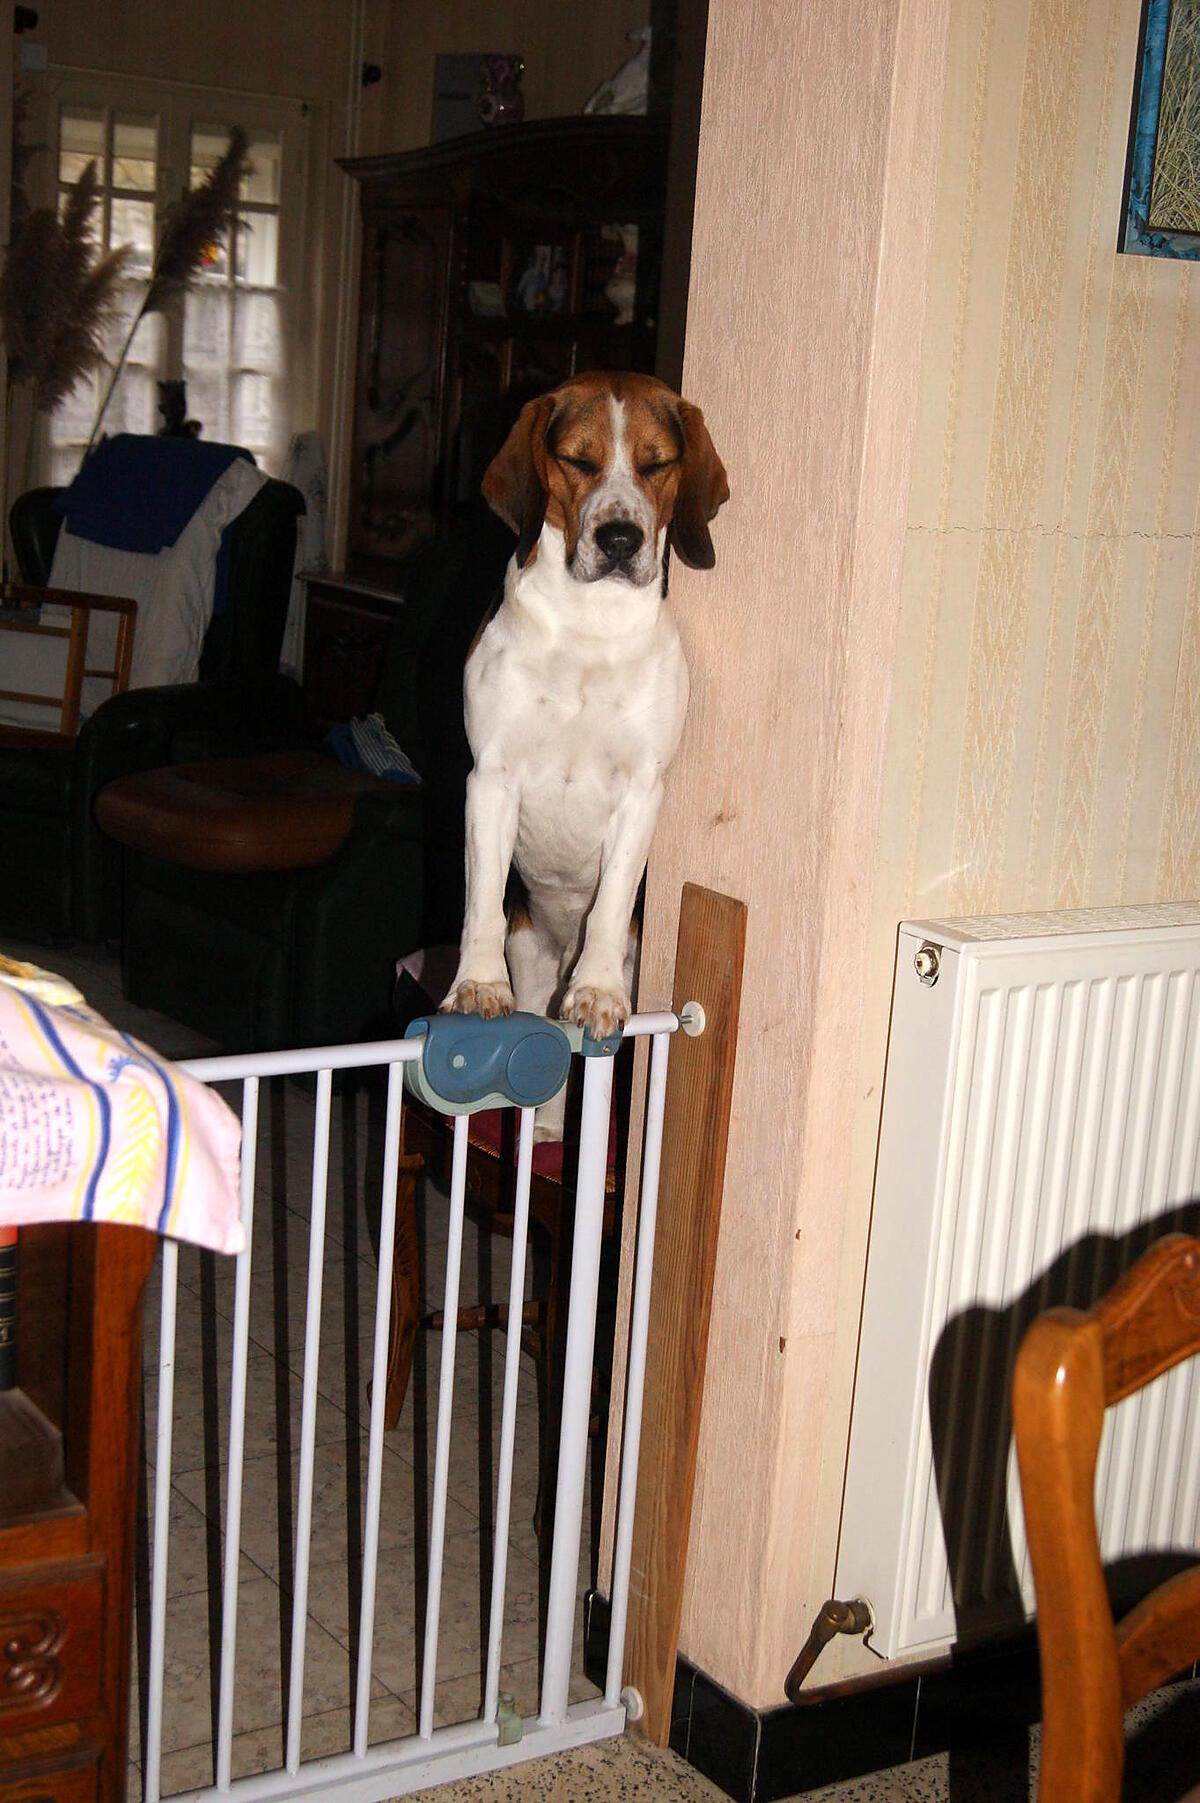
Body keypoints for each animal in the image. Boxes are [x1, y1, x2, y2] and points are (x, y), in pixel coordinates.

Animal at [437, 371, 724, 1132]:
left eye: (656, 463)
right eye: (577, 458)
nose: (621, 537)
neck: (590, 629)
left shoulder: (642, 792)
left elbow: (613, 896)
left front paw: (596, 992)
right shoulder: (491, 778)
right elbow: (480, 896)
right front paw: (476, 985)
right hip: (531, 947)